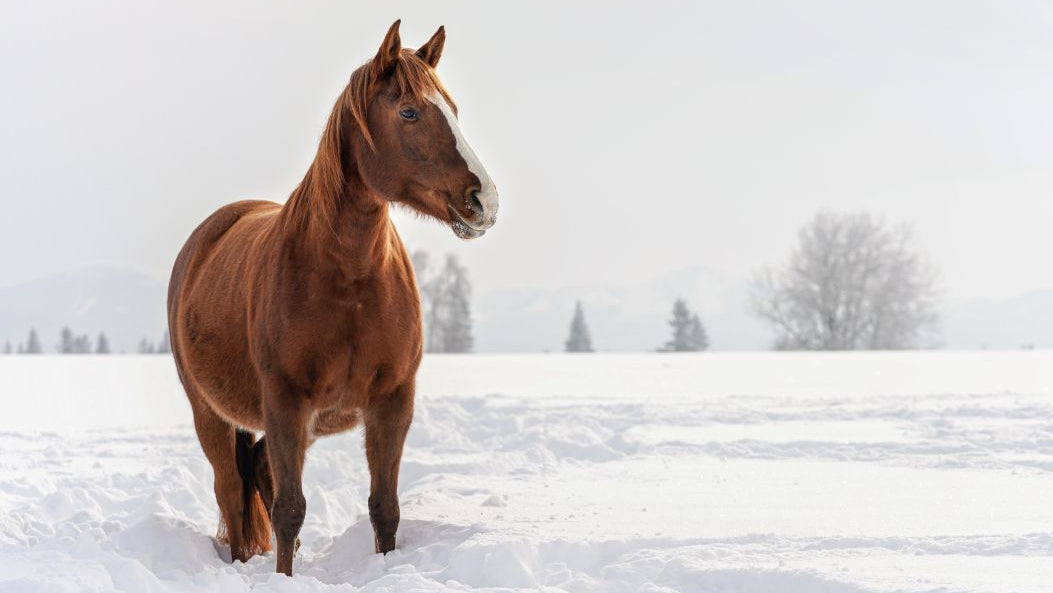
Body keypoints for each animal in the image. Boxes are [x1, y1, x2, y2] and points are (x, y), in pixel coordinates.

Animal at [166, 20, 498, 576]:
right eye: (409, 111)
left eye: (453, 109)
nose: (485, 201)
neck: (349, 282)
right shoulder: (285, 401)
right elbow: (288, 510)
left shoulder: (392, 401)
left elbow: (384, 508)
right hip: (211, 414)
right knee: (232, 492)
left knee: (258, 468)